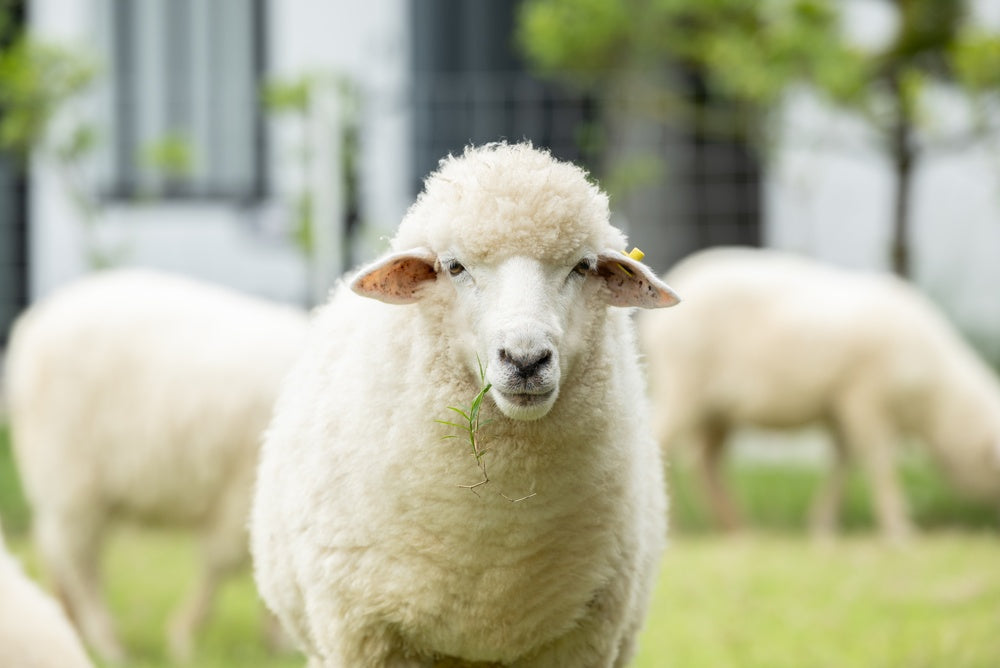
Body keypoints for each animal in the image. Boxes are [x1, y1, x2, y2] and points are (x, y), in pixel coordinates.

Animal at [249, 142, 680, 667]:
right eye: (455, 267)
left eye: (582, 266)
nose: (525, 359)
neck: (497, 547)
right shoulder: (362, 633)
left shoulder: (581, 637)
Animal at [638, 246, 1000, 542]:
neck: (936, 402)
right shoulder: (864, 399)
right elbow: (879, 462)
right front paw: (899, 530)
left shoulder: (841, 408)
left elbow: (842, 461)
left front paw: (823, 525)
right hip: (684, 384)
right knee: (664, 441)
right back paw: (675, 527)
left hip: (718, 408)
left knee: (705, 460)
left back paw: (738, 529)